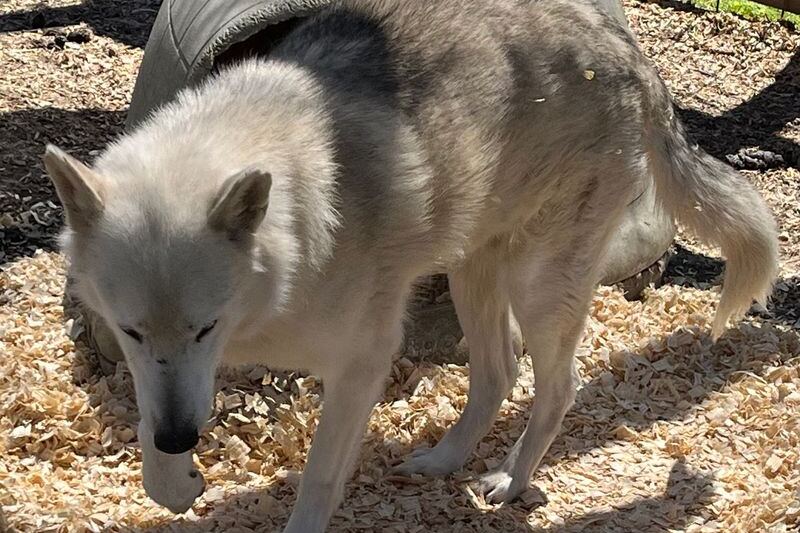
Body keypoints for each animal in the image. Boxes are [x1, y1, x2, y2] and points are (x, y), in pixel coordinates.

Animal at [43, 0, 778, 531]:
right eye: (131, 331)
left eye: (206, 326)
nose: (180, 438)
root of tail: (630, 52)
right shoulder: (161, 371)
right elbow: (148, 426)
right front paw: (174, 480)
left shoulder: (360, 364)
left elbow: (319, 478)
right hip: (474, 272)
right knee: (498, 374)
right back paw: (445, 460)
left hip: (538, 287)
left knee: (557, 386)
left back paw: (511, 480)